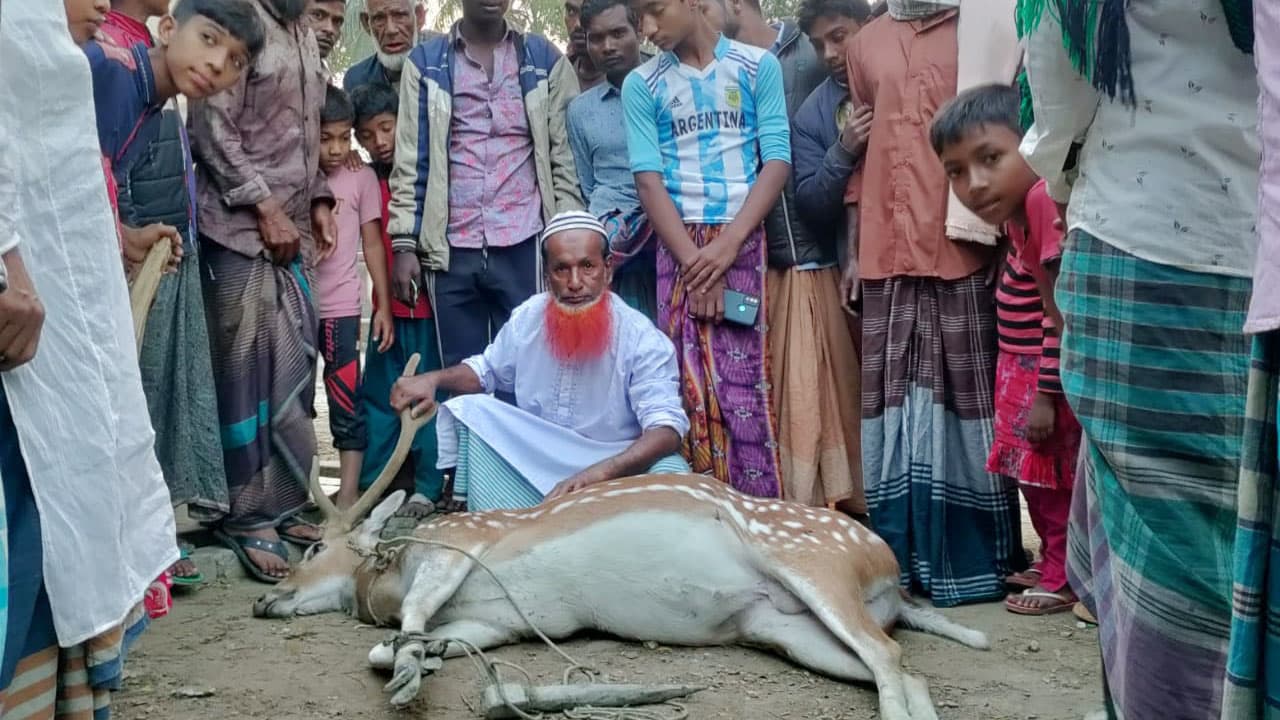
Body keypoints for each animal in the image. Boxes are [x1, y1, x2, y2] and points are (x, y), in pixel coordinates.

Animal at [252, 353, 988, 717]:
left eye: (312, 546)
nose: (266, 599)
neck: (388, 571)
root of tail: (887, 570)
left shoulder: (459, 547)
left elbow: (405, 622)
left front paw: (410, 675)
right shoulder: (496, 622)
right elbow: (411, 641)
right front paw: (422, 661)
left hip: (814, 564)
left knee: (888, 657)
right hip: (781, 626)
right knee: (900, 667)